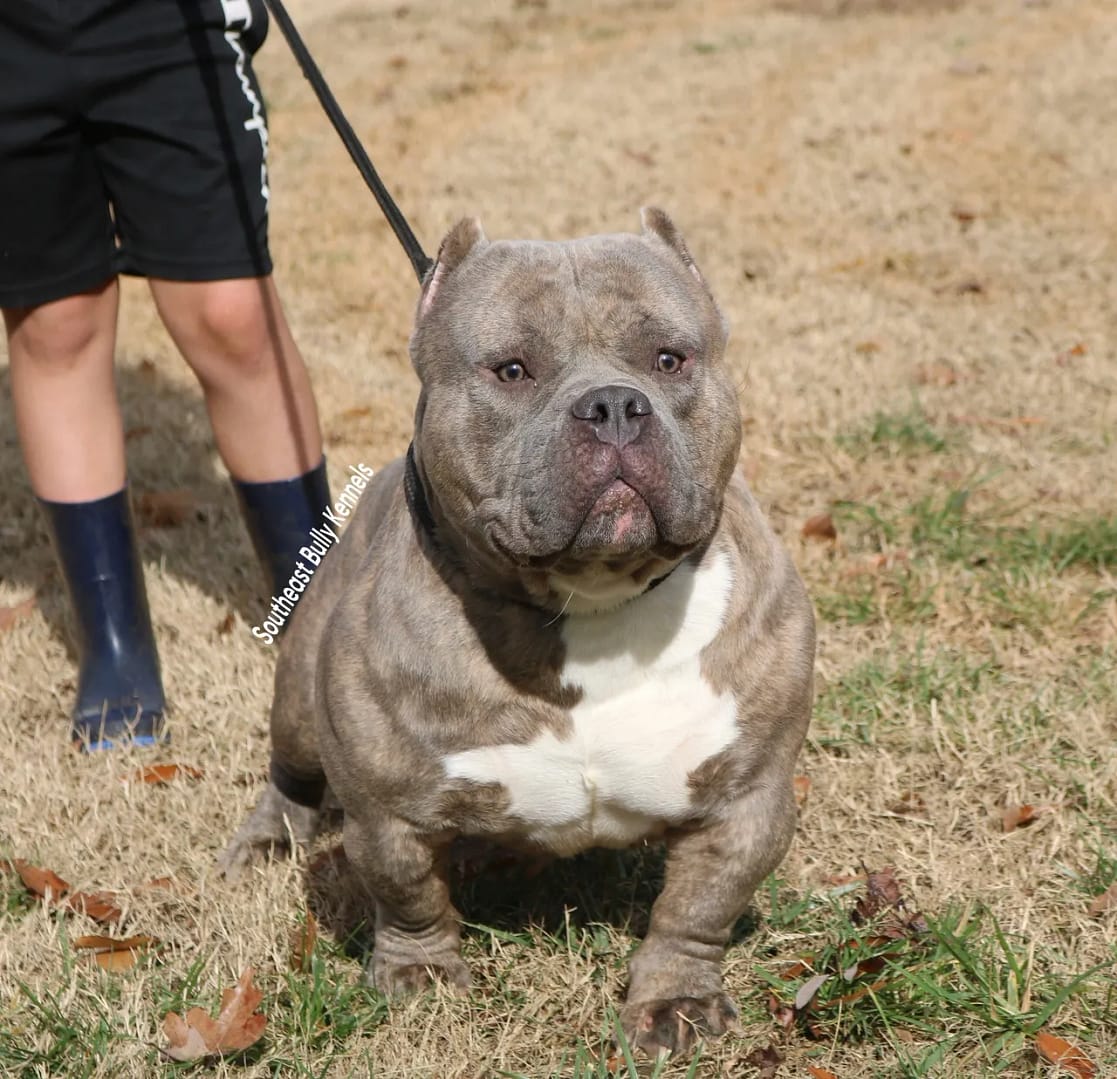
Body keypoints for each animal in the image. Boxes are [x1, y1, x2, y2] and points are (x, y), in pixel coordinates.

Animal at [220, 206, 813, 1058]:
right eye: (510, 370)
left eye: (670, 358)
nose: (613, 404)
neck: (590, 605)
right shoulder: (387, 814)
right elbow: (408, 895)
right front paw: (421, 974)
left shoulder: (747, 798)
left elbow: (697, 907)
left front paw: (675, 998)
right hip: (299, 701)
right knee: (290, 776)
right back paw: (267, 840)